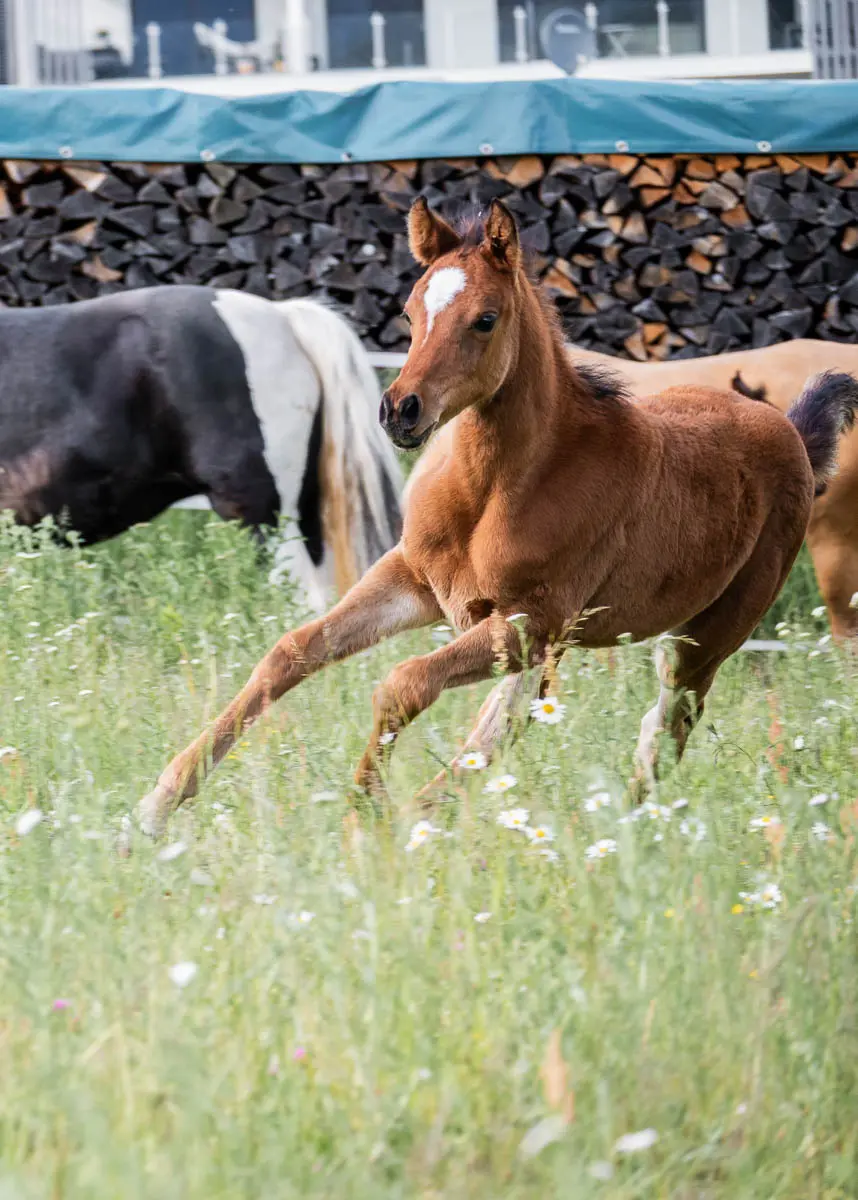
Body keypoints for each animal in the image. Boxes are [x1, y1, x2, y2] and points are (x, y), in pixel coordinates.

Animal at [138, 198, 858, 837]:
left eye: (484, 319)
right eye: (410, 311)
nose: (399, 410)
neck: (494, 490)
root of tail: (792, 430)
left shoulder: (529, 622)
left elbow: (401, 683)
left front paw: (362, 807)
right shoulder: (416, 584)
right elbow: (291, 654)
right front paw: (154, 808)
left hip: (706, 633)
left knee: (666, 721)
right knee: (507, 726)